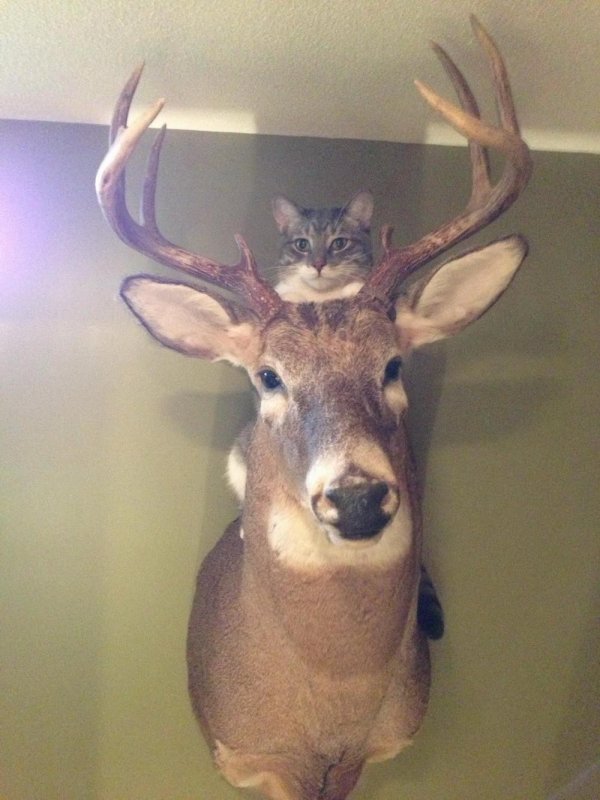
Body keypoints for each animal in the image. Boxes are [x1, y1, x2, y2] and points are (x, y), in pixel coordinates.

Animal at [96, 16, 532, 800]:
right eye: (267, 377)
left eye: (393, 365)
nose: (356, 496)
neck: (330, 706)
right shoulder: (260, 759)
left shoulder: (365, 756)